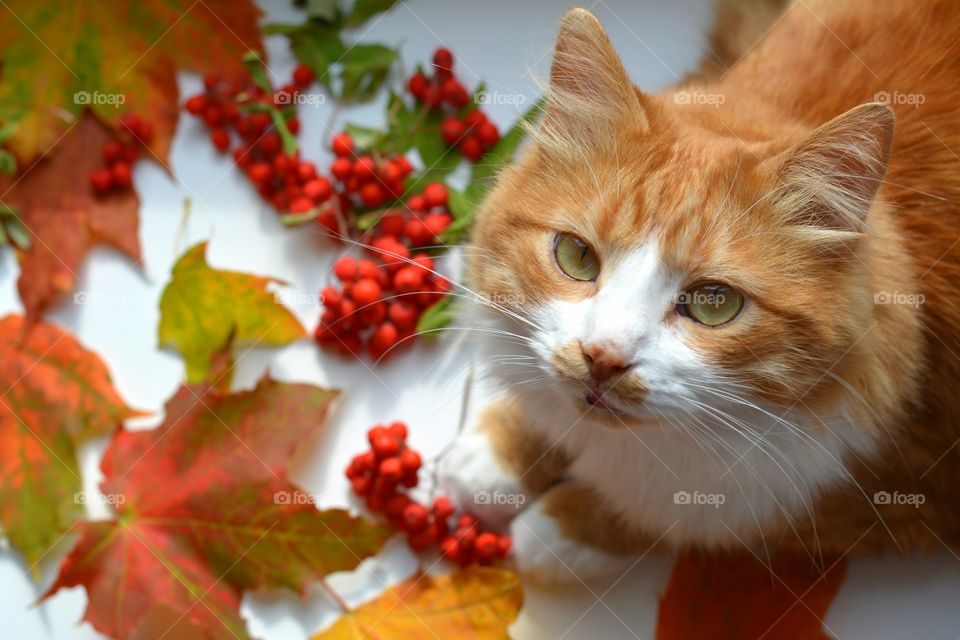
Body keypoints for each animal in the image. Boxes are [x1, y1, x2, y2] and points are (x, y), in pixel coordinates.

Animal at [440, 0, 960, 580]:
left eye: (715, 304)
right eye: (577, 256)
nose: (603, 357)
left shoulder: (886, 494)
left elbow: (678, 516)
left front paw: (564, 526)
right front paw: (498, 456)